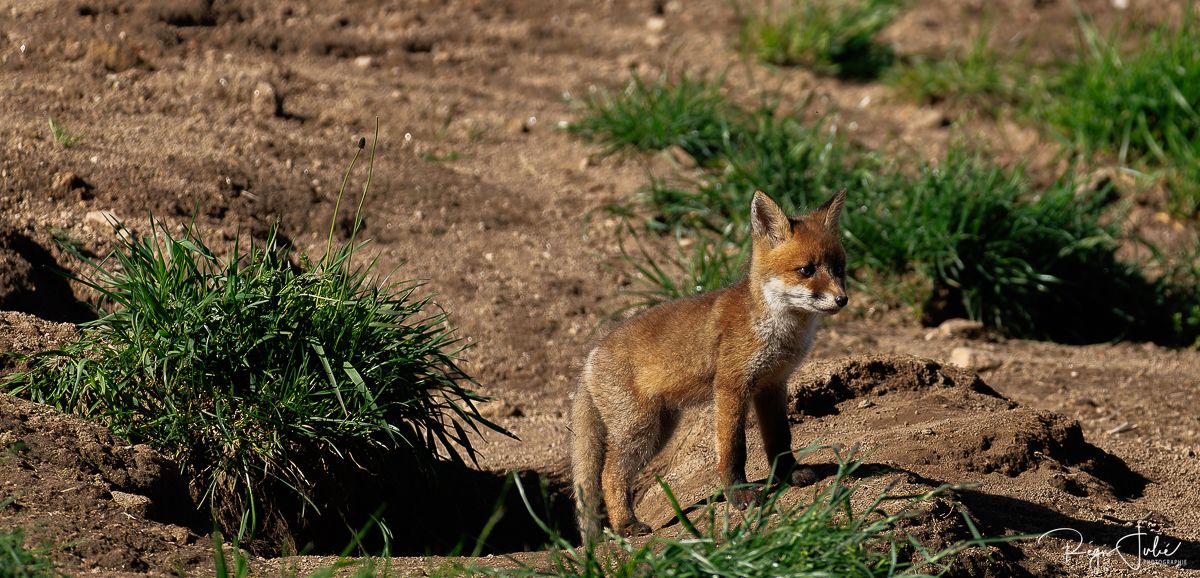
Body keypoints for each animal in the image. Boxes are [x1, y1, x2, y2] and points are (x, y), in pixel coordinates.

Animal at [568, 188, 844, 537]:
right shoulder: (730, 387)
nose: (842, 299)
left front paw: (789, 475)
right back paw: (626, 524)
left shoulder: (772, 385)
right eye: (807, 270)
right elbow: (733, 449)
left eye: (839, 269)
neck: (778, 330)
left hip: (660, 429)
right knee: (609, 474)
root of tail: (592, 354)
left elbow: (780, 438)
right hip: (639, 430)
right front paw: (739, 496)